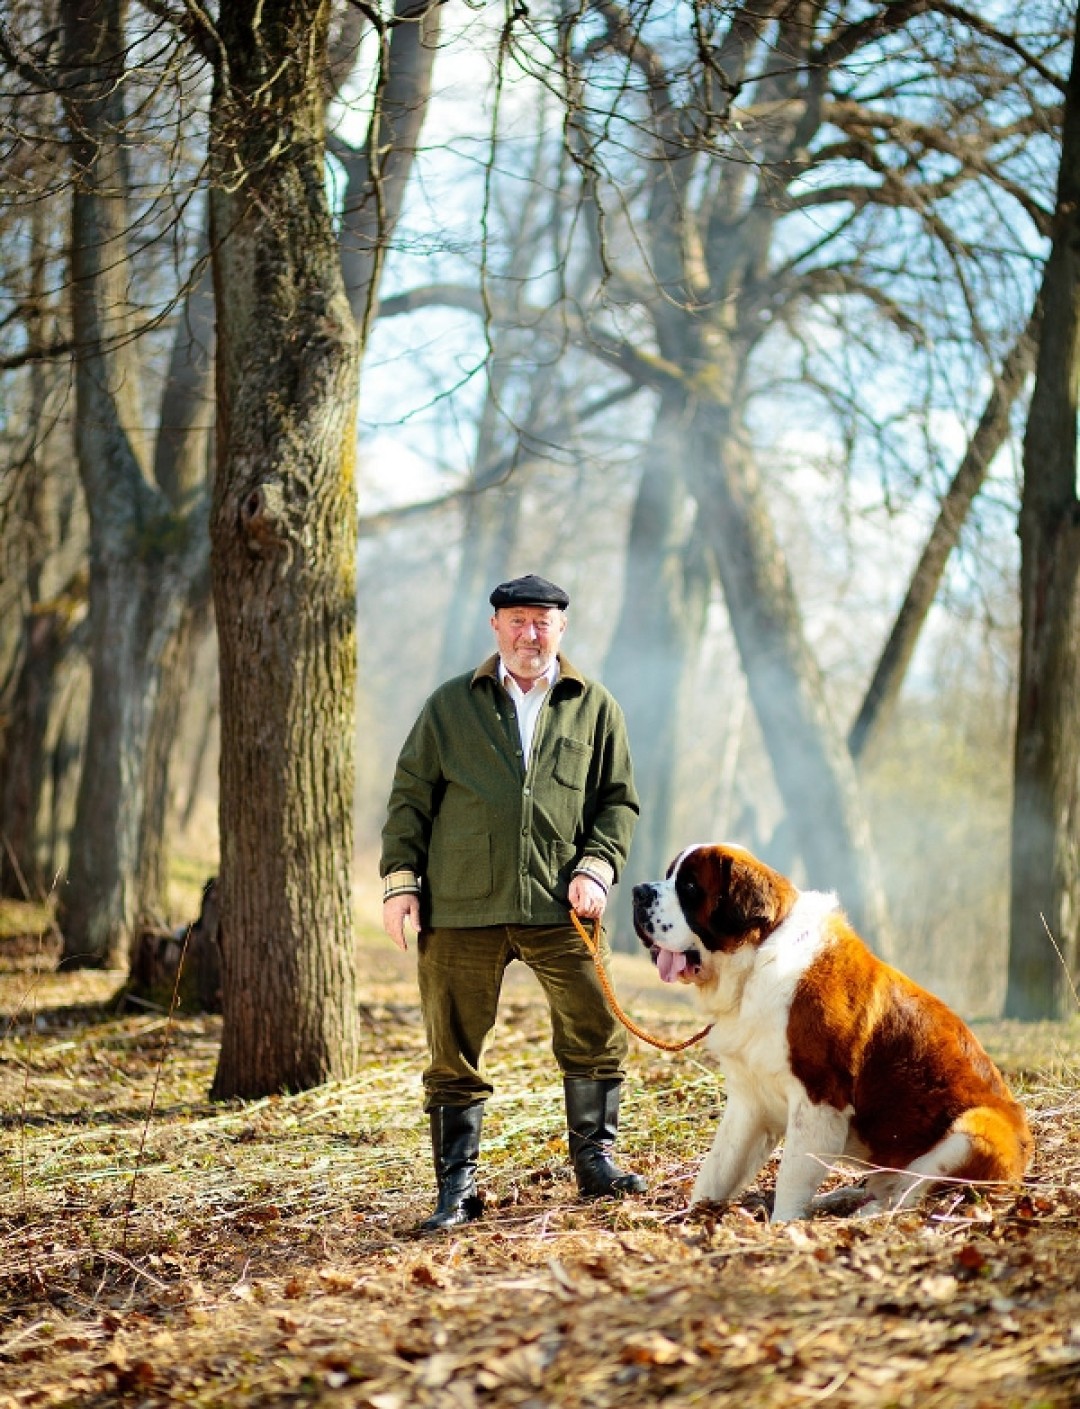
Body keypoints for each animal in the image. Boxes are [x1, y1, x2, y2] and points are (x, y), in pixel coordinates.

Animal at [630, 845, 1036, 1223]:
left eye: (689, 887)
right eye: (669, 877)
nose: (638, 891)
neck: (757, 959)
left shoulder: (818, 1099)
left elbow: (793, 1173)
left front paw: (782, 1227)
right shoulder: (750, 1101)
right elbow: (719, 1165)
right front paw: (691, 1215)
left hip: (975, 1129)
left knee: (910, 1198)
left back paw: (867, 1214)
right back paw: (839, 1200)